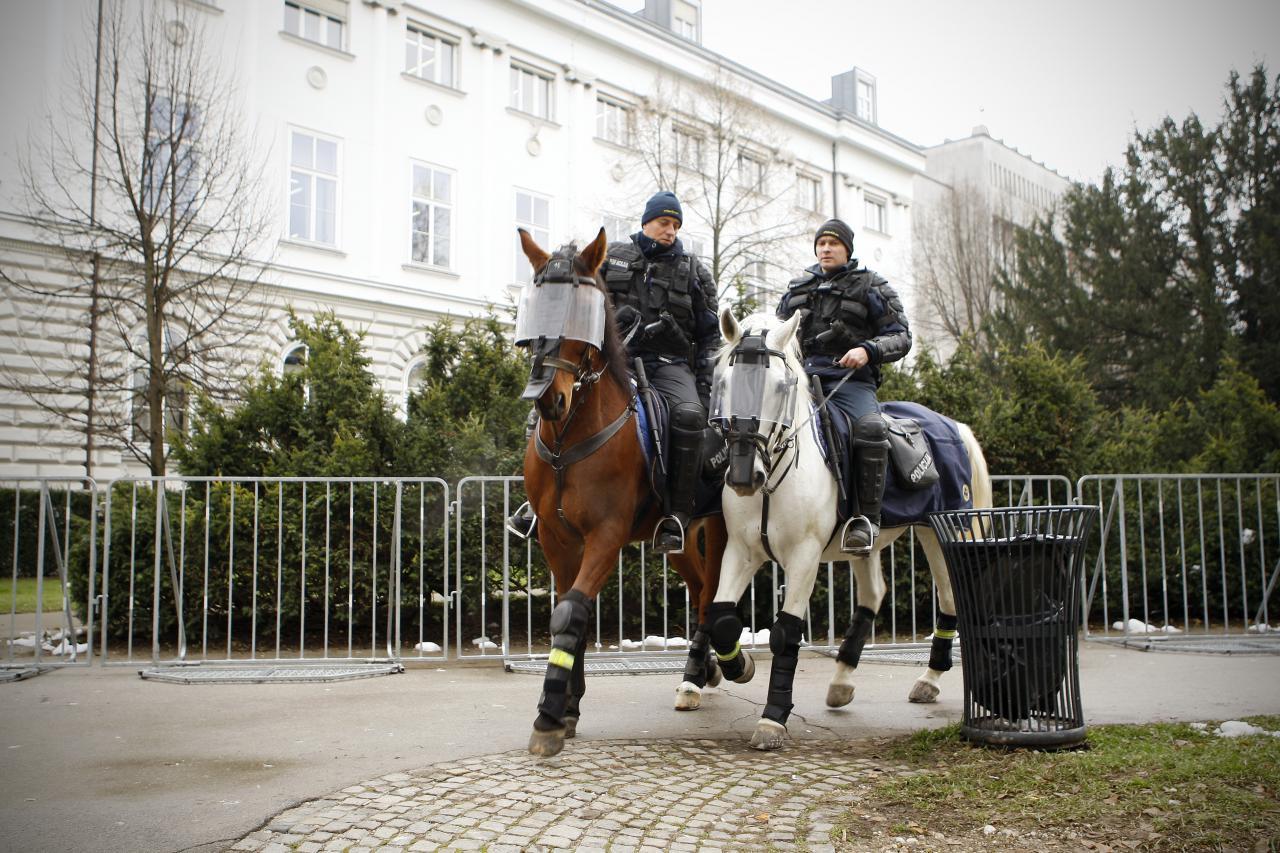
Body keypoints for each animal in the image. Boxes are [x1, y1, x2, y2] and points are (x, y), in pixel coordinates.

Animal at [514, 224, 727, 753]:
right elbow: (570, 612)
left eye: (582, 310)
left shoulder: (605, 536)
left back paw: (702, 673)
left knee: (711, 595)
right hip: (678, 540)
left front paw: (549, 715)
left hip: (722, 528)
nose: (548, 398)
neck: (569, 439)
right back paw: (705, 669)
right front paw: (568, 707)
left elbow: (571, 612)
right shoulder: (556, 538)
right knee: (698, 587)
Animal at [706, 308, 993, 747]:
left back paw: (931, 680)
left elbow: (786, 633)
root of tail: (953, 426)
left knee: (953, 597)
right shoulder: (741, 551)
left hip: (945, 531)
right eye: (724, 382)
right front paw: (740, 667)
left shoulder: (804, 557)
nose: (742, 476)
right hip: (869, 543)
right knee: (874, 594)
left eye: (781, 387)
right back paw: (842, 682)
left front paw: (772, 719)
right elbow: (720, 619)